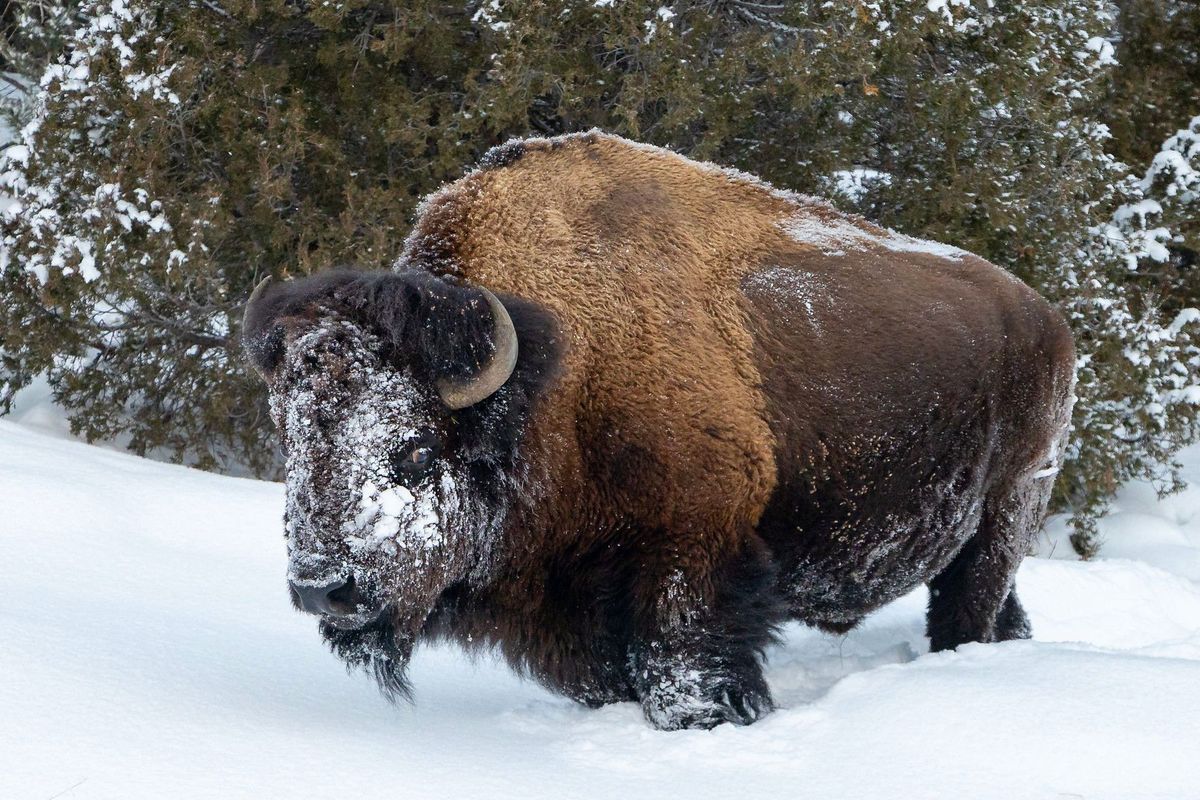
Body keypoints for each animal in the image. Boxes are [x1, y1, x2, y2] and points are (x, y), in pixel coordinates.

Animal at [238, 128, 1075, 729]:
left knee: (967, 608)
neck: (560, 371)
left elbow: (681, 666)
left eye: (412, 451)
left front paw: (716, 718)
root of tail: (1046, 316)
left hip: (1009, 510)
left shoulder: (691, 553)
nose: (323, 591)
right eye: (291, 441)